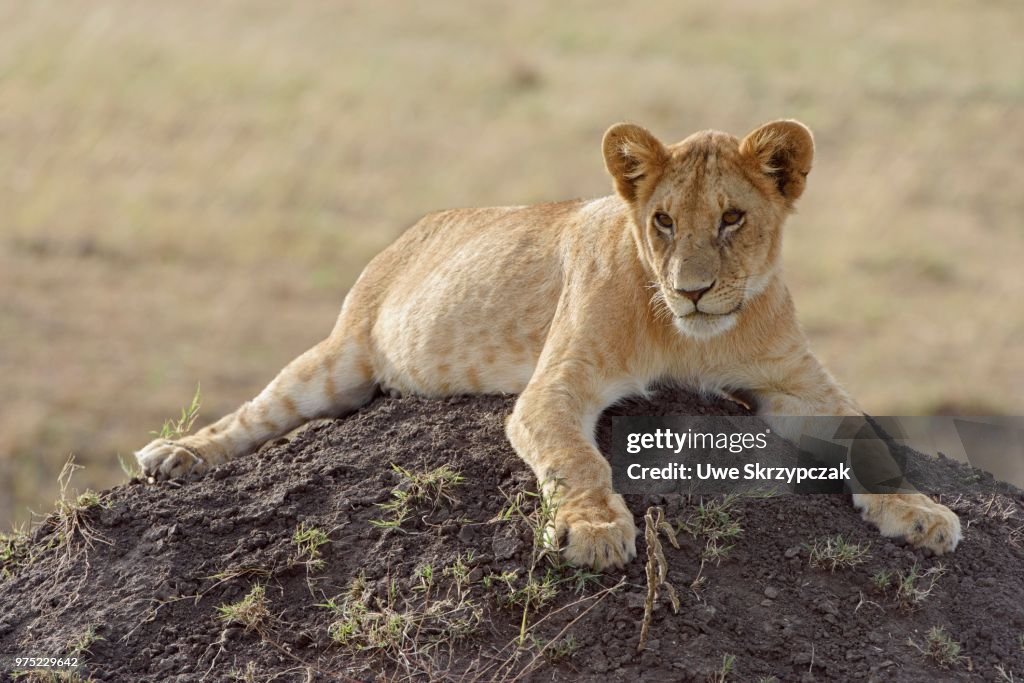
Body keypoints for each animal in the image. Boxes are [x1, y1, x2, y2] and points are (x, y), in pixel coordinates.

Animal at [136, 119, 961, 569]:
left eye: (732, 218)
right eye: (663, 221)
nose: (693, 290)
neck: (693, 338)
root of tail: (413, 227)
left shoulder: (798, 380)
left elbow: (872, 436)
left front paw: (920, 512)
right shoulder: (556, 384)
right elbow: (576, 458)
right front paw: (594, 530)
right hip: (340, 359)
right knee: (255, 413)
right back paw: (175, 454)